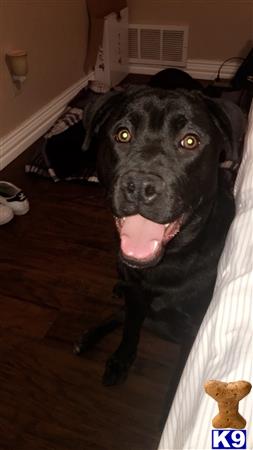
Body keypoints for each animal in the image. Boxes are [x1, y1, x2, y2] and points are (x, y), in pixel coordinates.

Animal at [75, 86, 245, 384]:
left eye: (189, 141)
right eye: (123, 135)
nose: (140, 185)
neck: (169, 261)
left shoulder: (194, 329)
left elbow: (181, 377)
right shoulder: (136, 297)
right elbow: (129, 330)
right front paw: (121, 359)